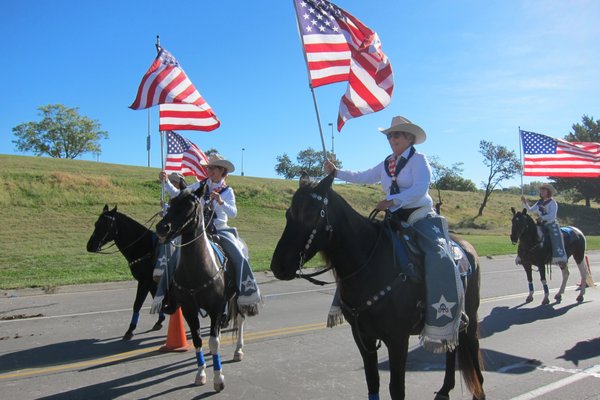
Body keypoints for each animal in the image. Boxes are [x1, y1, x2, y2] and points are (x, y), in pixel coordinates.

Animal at [86, 205, 164, 340]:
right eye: (96, 223)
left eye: (105, 225)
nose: (90, 246)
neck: (144, 247)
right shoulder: (151, 283)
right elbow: (156, 299)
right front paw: (160, 320)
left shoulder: (145, 282)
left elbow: (137, 304)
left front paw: (130, 330)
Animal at [157, 182, 248, 390]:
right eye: (172, 202)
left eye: (190, 205)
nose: (162, 227)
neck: (197, 268)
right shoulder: (189, 309)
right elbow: (198, 340)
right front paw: (201, 373)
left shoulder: (215, 307)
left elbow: (213, 342)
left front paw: (218, 378)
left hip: (237, 298)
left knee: (239, 320)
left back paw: (238, 351)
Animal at [270, 173, 486, 400]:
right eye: (288, 214)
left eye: (311, 215)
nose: (278, 266)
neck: (369, 264)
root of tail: (466, 246)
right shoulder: (363, 336)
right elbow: (372, 380)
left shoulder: (398, 340)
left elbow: (396, 389)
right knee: (452, 348)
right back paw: (445, 389)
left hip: (471, 316)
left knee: (473, 346)